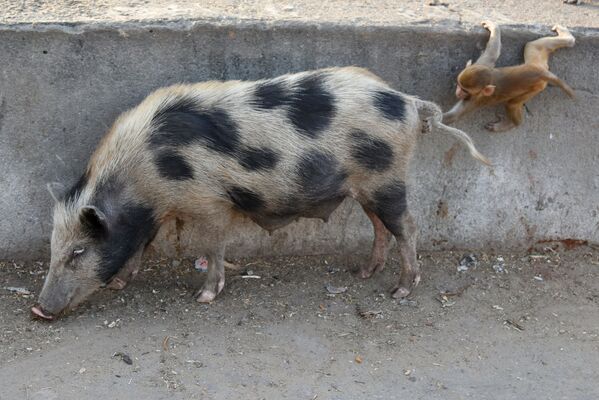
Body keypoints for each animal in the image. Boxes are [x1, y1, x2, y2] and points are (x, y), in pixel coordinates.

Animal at [32, 67, 490, 320]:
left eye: (77, 251)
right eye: (53, 248)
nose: (37, 309)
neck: (145, 173)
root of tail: (410, 103)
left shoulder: (210, 202)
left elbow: (212, 247)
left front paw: (203, 297)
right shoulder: (154, 214)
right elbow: (141, 244)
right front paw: (118, 285)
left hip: (387, 178)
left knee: (407, 226)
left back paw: (400, 290)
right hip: (366, 186)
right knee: (381, 226)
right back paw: (363, 273)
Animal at [446, 21, 576, 131]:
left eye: (465, 91)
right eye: (459, 85)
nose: (458, 93)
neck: (491, 80)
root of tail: (542, 72)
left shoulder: (473, 101)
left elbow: (452, 117)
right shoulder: (482, 64)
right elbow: (493, 52)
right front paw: (493, 27)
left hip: (536, 88)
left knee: (512, 104)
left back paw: (511, 124)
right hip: (536, 60)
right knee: (531, 45)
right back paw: (568, 39)